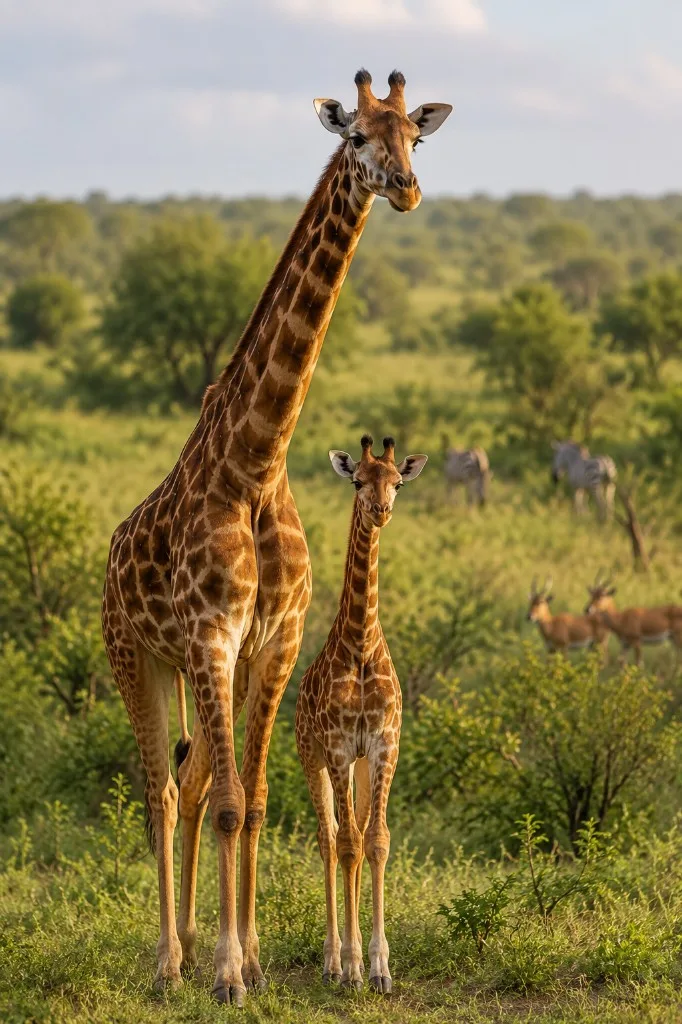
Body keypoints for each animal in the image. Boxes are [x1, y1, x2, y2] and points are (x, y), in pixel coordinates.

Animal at [101, 70, 452, 1006]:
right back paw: (167, 960)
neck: (256, 463)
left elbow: (251, 800)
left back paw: (190, 942)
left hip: (191, 667)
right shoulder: (213, 638)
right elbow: (228, 802)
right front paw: (226, 973)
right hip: (136, 656)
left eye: (416, 136)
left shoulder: (275, 643)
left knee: (190, 783)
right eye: (358, 136)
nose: (406, 189)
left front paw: (250, 958)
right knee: (160, 789)